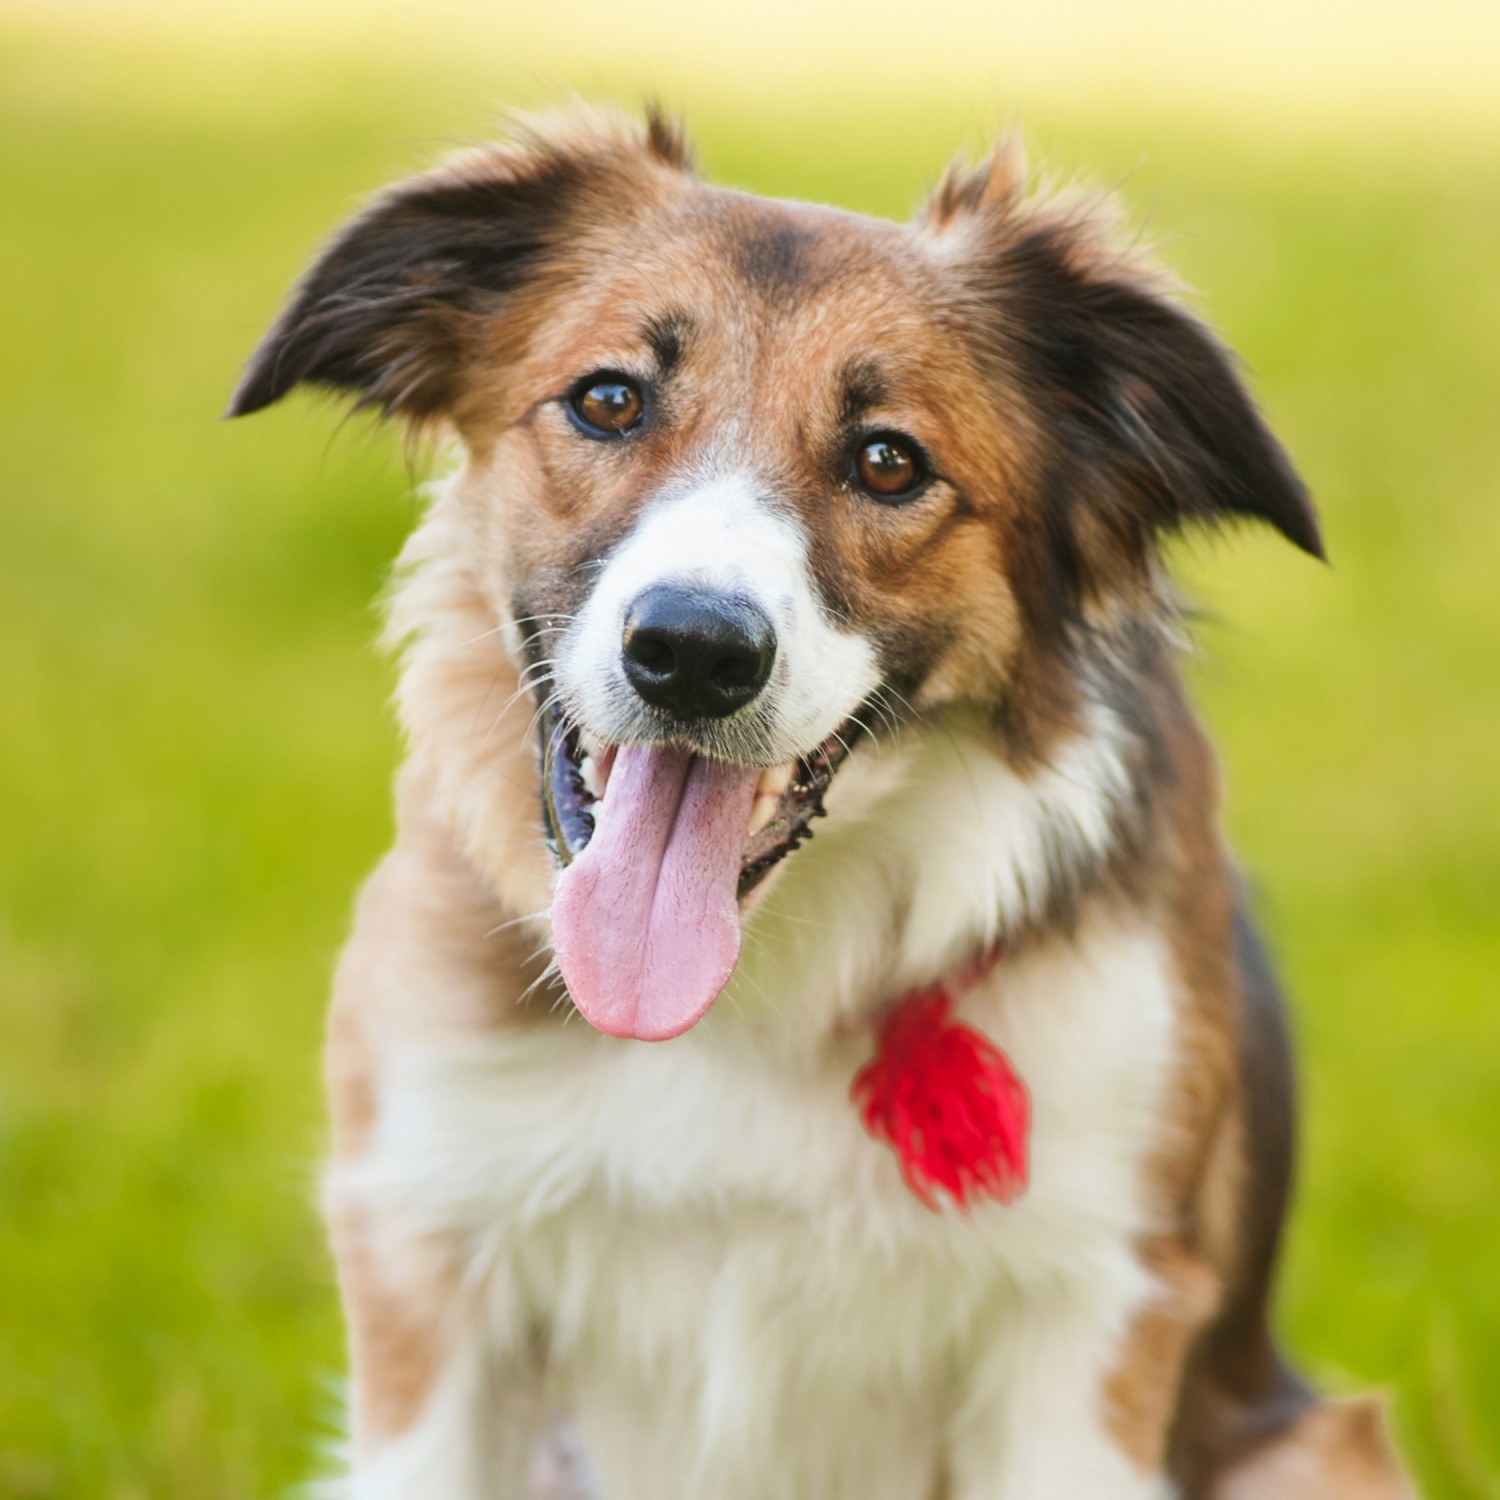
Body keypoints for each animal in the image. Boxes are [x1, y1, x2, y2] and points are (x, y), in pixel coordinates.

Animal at [228, 108, 1410, 1500]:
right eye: (608, 399)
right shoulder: (432, 1244)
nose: (692, 651)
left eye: (889, 463)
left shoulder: (1085, 1318)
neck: (740, 999)